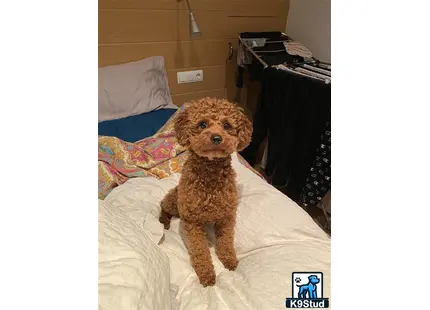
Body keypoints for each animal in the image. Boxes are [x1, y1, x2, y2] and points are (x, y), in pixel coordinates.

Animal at [158, 98, 252, 286]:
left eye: (227, 125)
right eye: (202, 124)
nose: (216, 138)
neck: (210, 175)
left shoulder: (227, 216)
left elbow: (225, 241)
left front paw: (229, 259)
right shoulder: (192, 221)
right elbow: (199, 250)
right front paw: (206, 273)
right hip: (175, 200)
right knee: (163, 205)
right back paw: (164, 221)